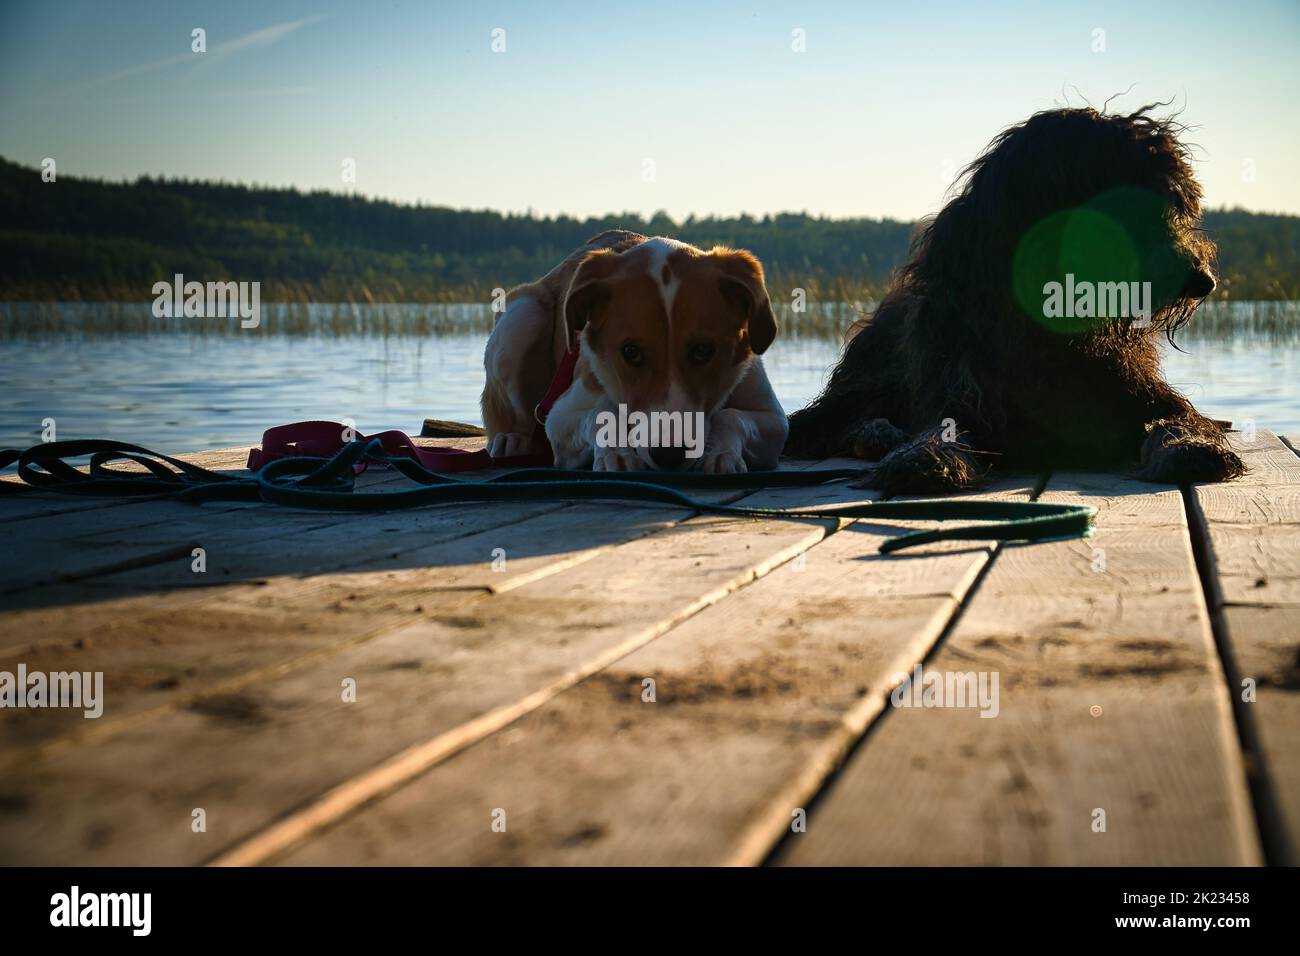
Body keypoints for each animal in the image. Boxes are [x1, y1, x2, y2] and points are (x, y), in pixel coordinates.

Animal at [483, 231, 785, 470]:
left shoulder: (774, 420)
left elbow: (731, 415)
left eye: (703, 350)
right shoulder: (559, 417)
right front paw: (615, 450)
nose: (669, 455)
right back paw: (513, 440)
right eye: (630, 352)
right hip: (521, 318)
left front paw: (721, 452)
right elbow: (600, 411)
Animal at [785, 106, 1242, 494]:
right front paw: (922, 457)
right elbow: (942, 429)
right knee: (829, 420)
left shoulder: (1133, 393)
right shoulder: (961, 393)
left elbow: (1177, 419)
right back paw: (879, 433)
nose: (1203, 282)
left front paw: (1190, 447)